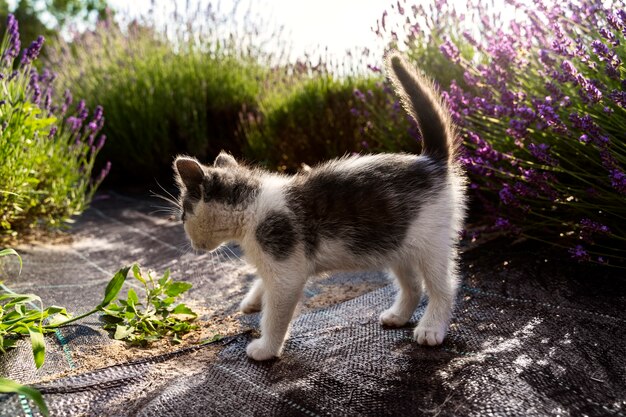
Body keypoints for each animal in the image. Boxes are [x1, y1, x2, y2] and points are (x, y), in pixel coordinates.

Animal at [173, 53, 466, 360]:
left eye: (182, 213)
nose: (189, 240)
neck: (252, 207)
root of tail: (430, 161)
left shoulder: (286, 271)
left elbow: (275, 314)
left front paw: (266, 348)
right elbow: (262, 283)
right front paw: (253, 299)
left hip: (431, 242)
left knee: (444, 286)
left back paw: (431, 328)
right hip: (397, 243)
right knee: (413, 285)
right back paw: (398, 316)